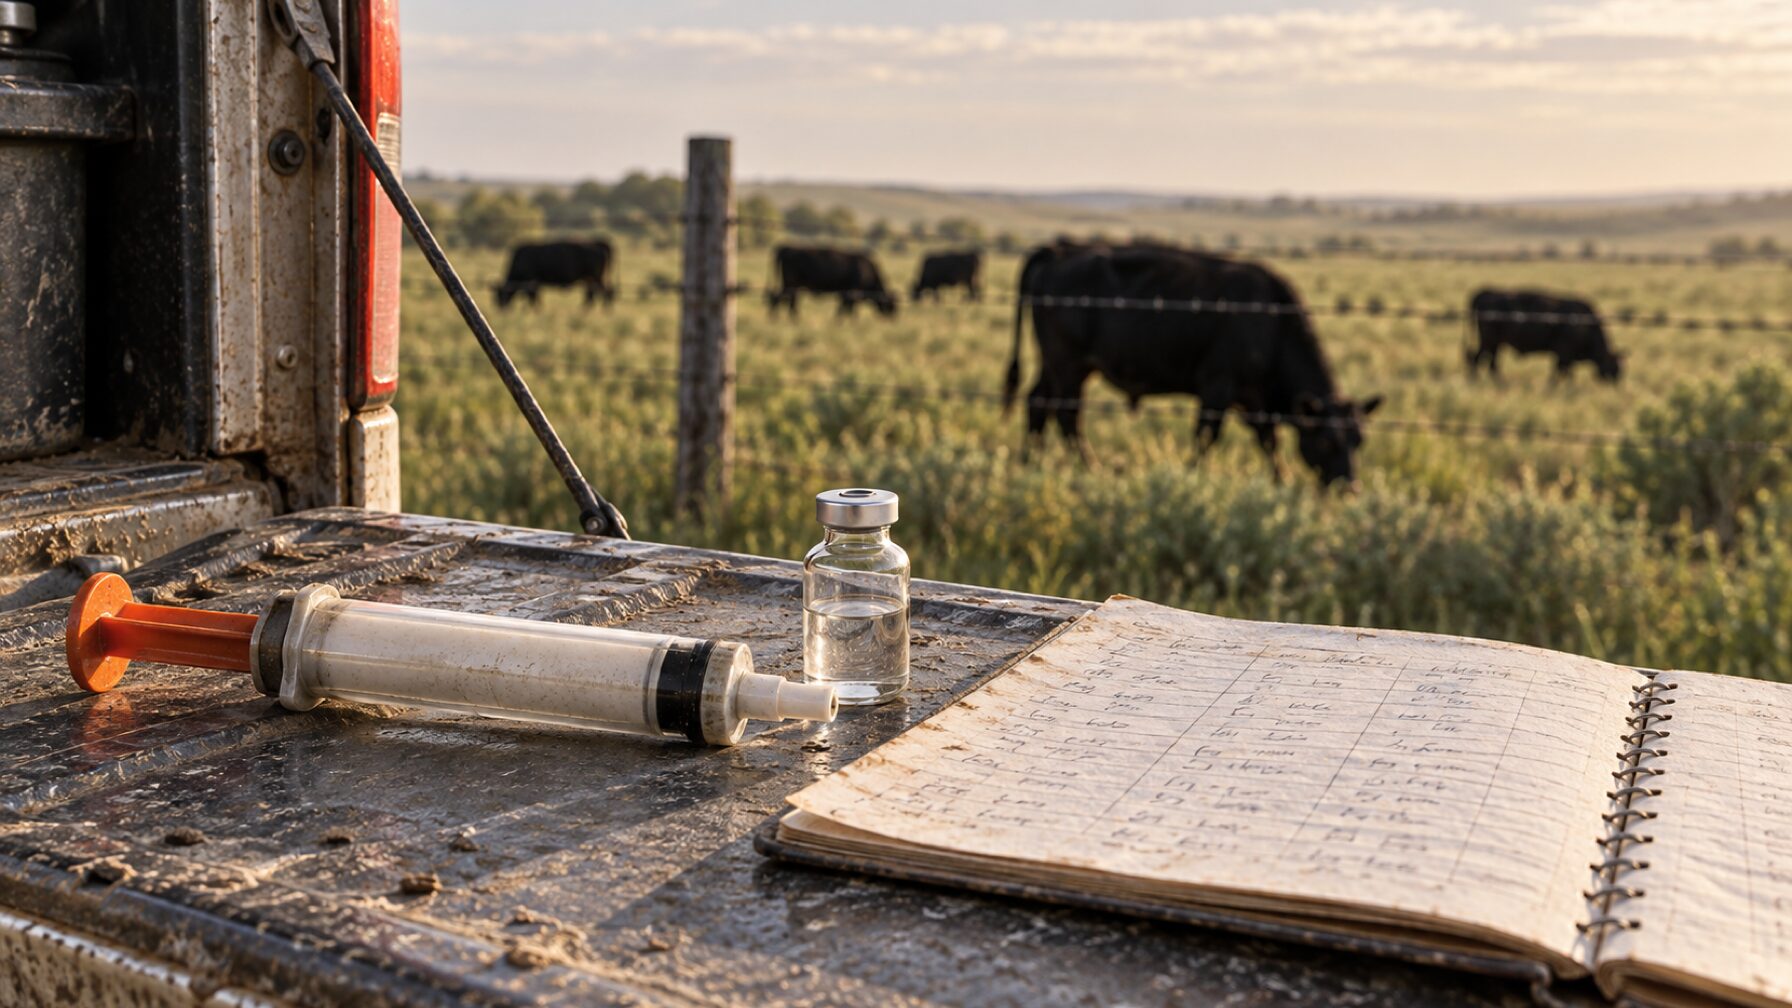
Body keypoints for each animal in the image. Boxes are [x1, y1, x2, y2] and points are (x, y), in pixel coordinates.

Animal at [765, 245, 896, 317]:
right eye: (890, 303)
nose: (893, 315)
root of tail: (785, 249)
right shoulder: (852, 293)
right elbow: (849, 310)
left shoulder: (845, 294)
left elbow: (844, 309)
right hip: (790, 286)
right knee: (782, 300)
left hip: (791, 286)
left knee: (785, 301)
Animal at [1004, 243, 1381, 486]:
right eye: (1327, 442)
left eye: (1359, 440)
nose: (1349, 486)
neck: (1273, 322)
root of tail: (1058, 252)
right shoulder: (1217, 386)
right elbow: (1206, 436)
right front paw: (1192, 475)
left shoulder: (1253, 398)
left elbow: (1268, 441)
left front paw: (1281, 480)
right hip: (1069, 366)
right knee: (1067, 415)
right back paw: (1091, 468)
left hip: (1053, 366)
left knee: (1037, 403)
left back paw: (1030, 462)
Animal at [1466, 288, 1622, 382]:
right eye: (1614, 366)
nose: (1617, 382)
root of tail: (1484, 293)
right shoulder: (1564, 352)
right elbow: (1562, 372)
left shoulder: (1564, 355)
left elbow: (1562, 372)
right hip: (1489, 342)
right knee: (1479, 360)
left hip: (1494, 344)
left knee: (1488, 362)